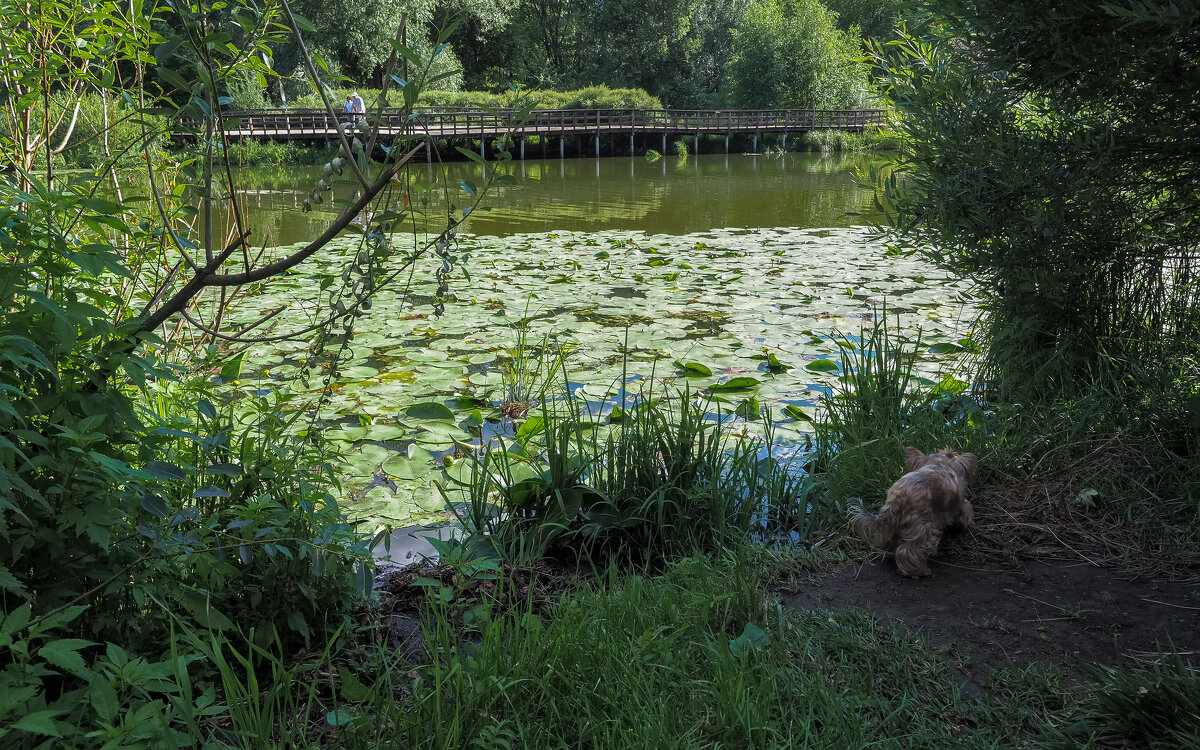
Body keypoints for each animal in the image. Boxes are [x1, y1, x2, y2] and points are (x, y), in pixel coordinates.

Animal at [849, 446, 979, 576]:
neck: (940, 463)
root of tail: (898, 499)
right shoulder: (959, 504)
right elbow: (966, 512)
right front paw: (970, 524)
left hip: (889, 520)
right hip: (922, 526)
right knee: (907, 550)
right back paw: (918, 571)